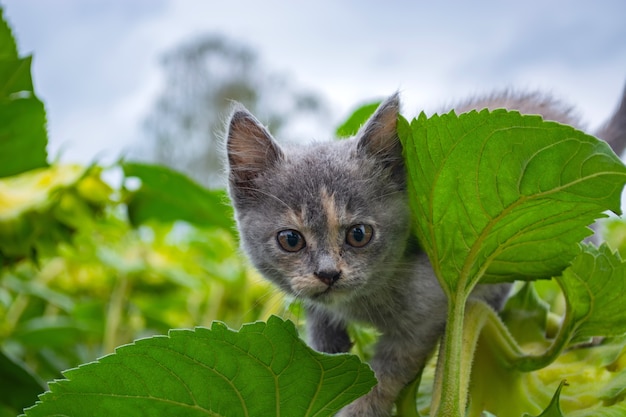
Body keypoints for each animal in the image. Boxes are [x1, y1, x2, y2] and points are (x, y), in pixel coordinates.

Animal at [224, 85, 624, 416]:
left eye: (358, 234)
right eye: (290, 240)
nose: (328, 273)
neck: (362, 301)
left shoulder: (425, 316)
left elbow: (384, 375)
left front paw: (359, 409)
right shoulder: (320, 316)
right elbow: (331, 359)